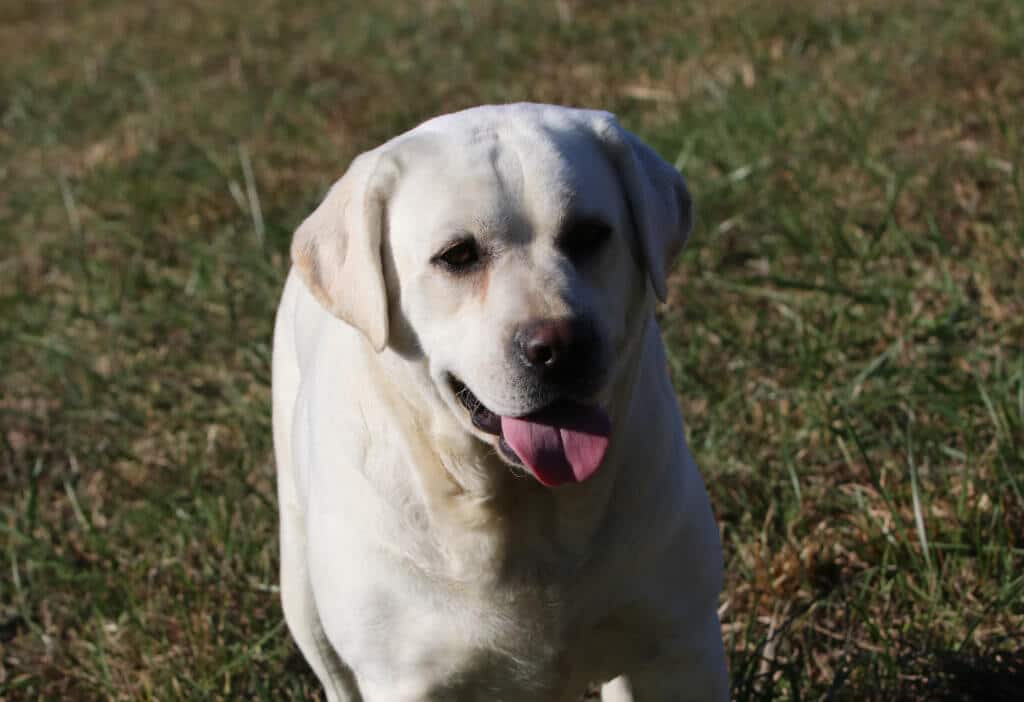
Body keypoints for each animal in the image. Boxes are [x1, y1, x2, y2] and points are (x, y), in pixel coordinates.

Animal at [272, 101, 729, 699]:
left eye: (590, 235)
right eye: (457, 255)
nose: (562, 346)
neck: (526, 513)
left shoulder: (680, 643)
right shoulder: (405, 679)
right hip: (302, 592)